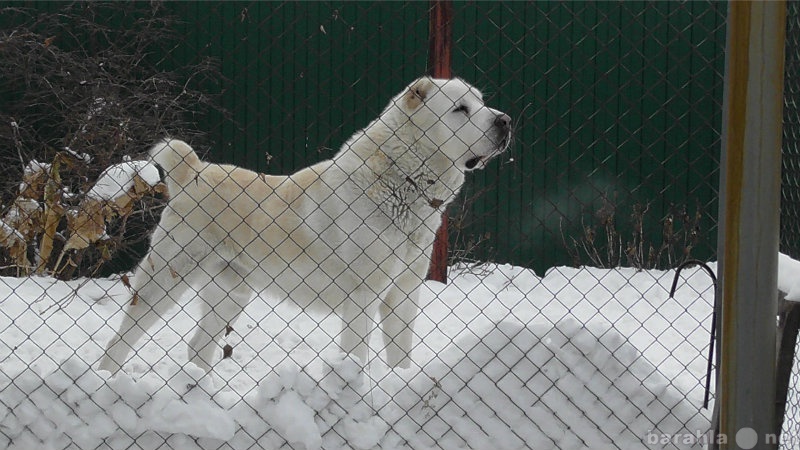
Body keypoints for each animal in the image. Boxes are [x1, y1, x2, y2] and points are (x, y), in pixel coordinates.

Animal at [98, 78, 512, 372]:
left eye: (481, 103)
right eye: (460, 109)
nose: (505, 120)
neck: (402, 180)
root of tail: (195, 172)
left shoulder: (403, 295)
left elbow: (401, 360)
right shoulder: (362, 297)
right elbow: (357, 354)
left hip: (231, 291)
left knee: (198, 347)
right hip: (166, 281)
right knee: (120, 341)